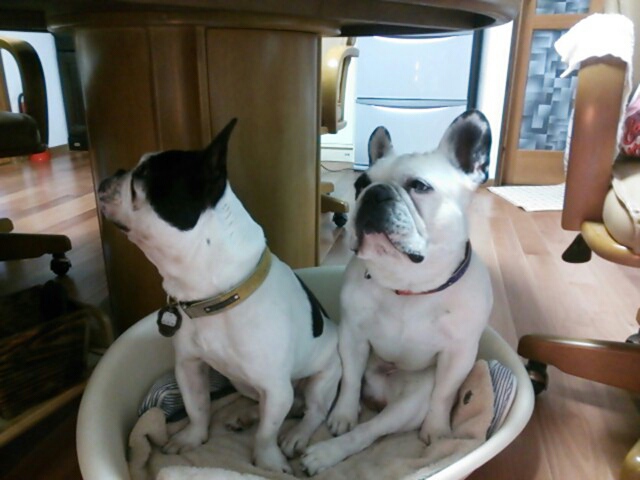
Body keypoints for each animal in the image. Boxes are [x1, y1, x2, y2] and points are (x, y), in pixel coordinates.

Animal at [97, 119, 342, 473]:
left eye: (143, 176)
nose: (112, 174)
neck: (215, 297)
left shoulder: (276, 385)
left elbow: (266, 434)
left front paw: (268, 461)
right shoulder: (189, 367)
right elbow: (197, 408)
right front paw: (191, 438)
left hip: (323, 377)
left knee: (312, 411)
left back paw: (297, 434)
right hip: (243, 383)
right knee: (271, 404)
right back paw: (247, 415)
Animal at [301, 110, 493, 475]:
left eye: (419, 186)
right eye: (360, 184)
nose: (374, 193)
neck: (408, 282)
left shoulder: (459, 355)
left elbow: (444, 394)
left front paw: (437, 429)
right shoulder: (353, 337)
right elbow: (350, 380)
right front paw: (343, 414)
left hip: (408, 404)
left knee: (371, 431)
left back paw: (324, 453)